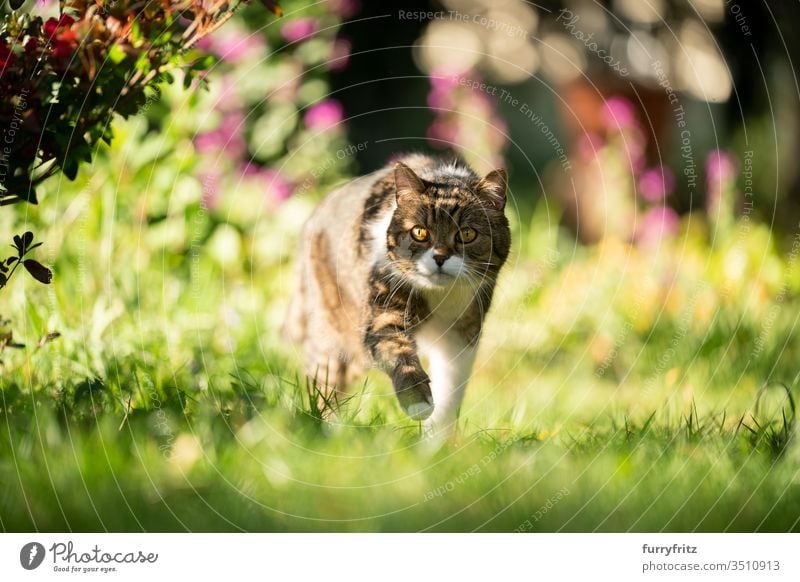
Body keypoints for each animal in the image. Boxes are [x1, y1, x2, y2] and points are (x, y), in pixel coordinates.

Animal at [286, 153, 512, 436]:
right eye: (419, 232)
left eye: (467, 234)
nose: (439, 258)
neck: (440, 296)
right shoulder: (384, 307)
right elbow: (396, 347)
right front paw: (417, 401)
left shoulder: (462, 334)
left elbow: (450, 388)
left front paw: (437, 440)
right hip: (332, 334)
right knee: (324, 384)